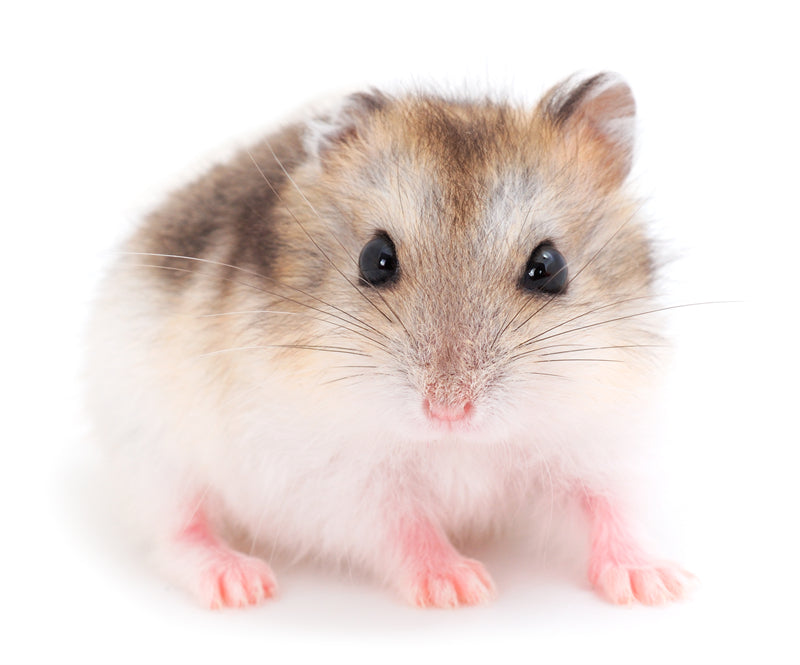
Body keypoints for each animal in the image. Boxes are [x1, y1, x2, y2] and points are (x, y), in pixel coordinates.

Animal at [86, 72, 694, 609]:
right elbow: (402, 526)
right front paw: (461, 589)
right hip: (151, 454)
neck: (459, 447)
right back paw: (240, 584)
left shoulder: (599, 441)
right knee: (176, 533)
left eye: (549, 266)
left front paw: (659, 585)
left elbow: (609, 509)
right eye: (375, 259)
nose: (448, 410)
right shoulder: (336, 482)